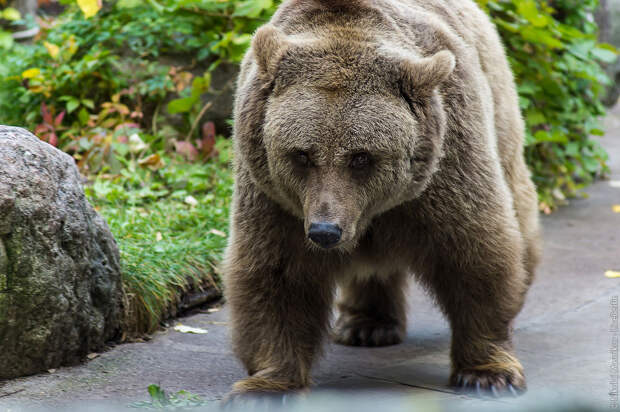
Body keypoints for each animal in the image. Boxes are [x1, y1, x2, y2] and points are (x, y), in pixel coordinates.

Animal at [222, 0, 536, 398]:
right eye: (302, 154)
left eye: (361, 156)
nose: (325, 231)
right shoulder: (276, 199)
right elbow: (276, 274)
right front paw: (266, 386)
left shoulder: (446, 165)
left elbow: (474, 253)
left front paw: (488, 373)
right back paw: (366, 324)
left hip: (497, 102)